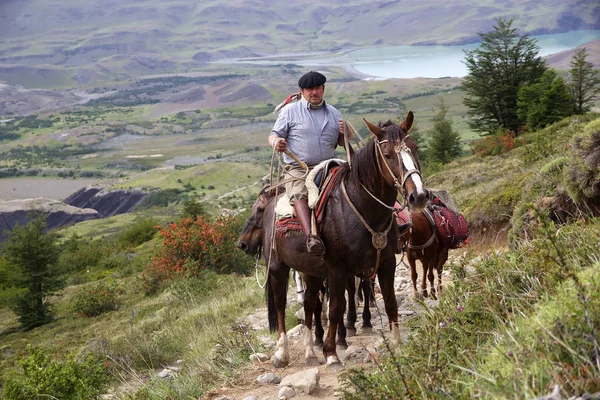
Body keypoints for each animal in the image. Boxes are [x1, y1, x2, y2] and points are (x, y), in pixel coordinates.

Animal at [237, 111, 428, 370]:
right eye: (388, 155)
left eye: (414, 148)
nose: (419, 195)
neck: (361, 208)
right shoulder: (338, 270)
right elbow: (337, 308)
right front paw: (331, 353)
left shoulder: (385, 263)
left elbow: (389, 302)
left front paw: (397, 344)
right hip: (278, 267)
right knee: (280, 305)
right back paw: (282, 353)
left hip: (312, 271)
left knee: (309, 305)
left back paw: (309, 352)